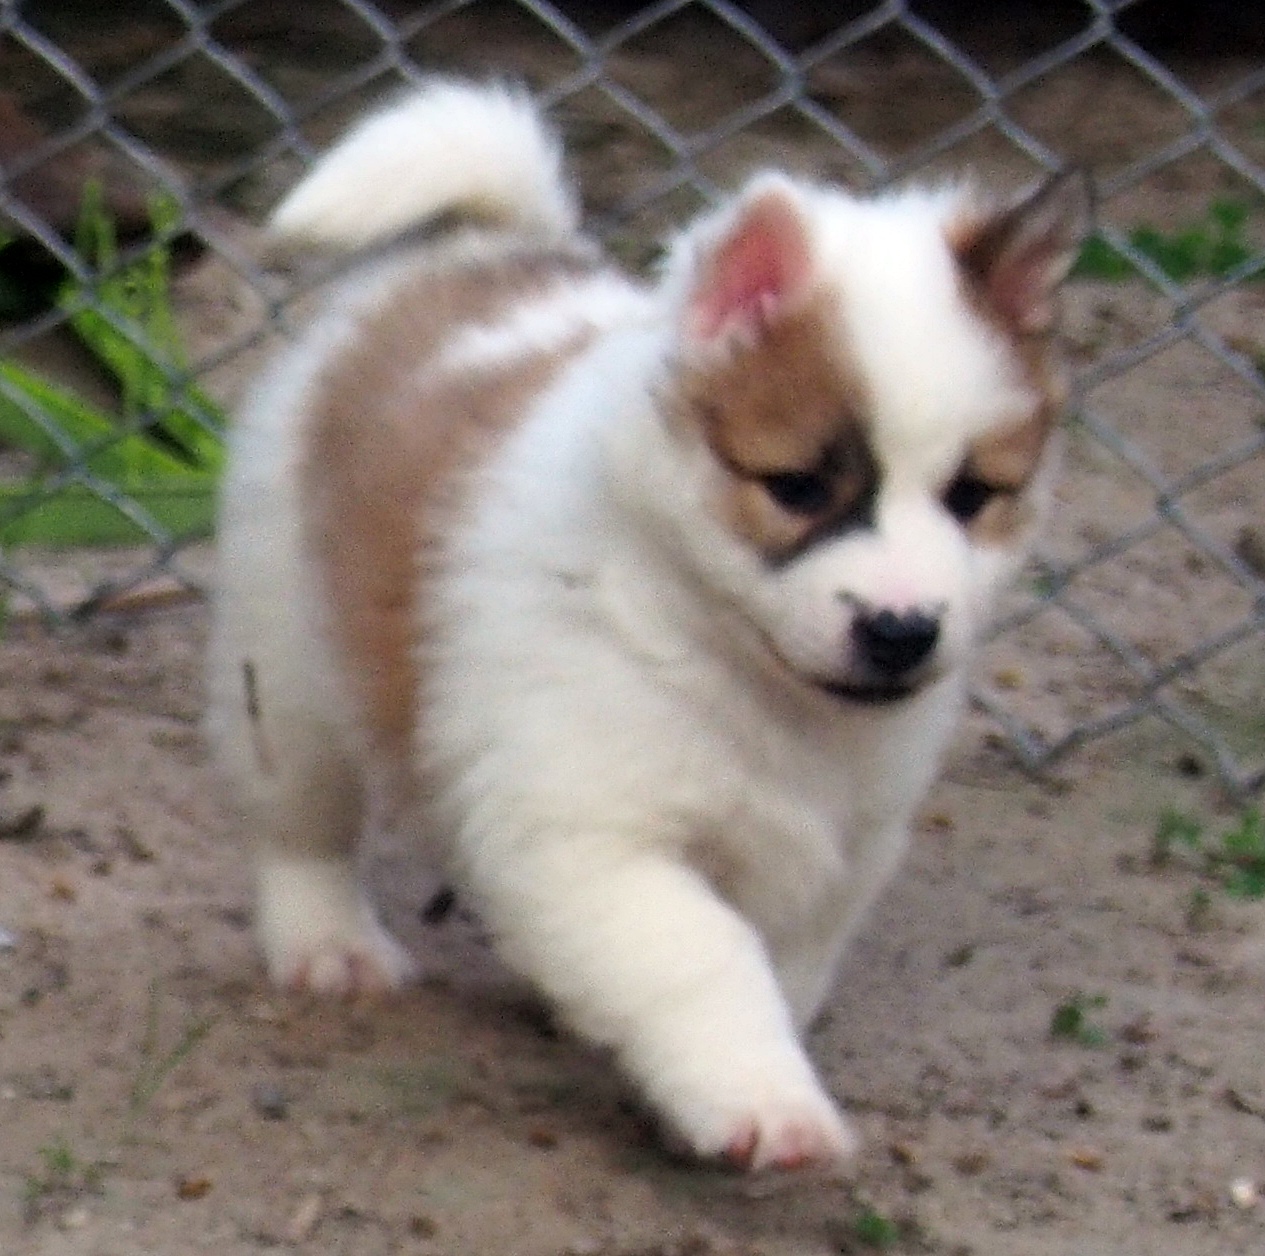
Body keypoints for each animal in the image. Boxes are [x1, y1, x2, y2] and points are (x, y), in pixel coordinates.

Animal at [206, 78, 1088, 1172]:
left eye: (973, 497)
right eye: (796, 488)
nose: (900, 630)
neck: (728, 658)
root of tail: (488, 253)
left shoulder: (838, 851)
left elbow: (781, 971)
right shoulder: (591, 833)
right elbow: (705, 957)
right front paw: (763, 1101)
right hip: (283, 663)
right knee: (300, 818)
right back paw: (328, 943)